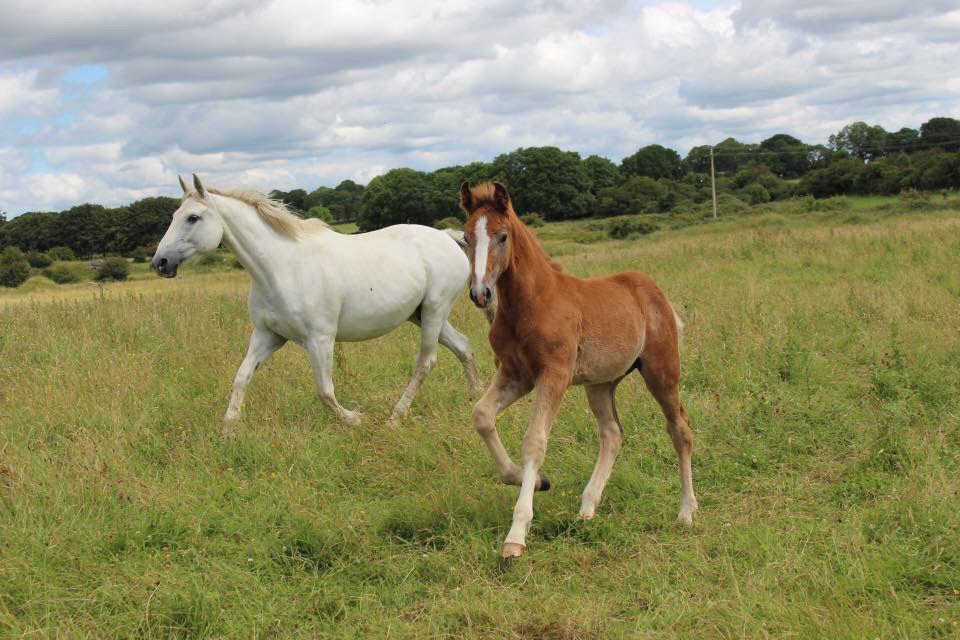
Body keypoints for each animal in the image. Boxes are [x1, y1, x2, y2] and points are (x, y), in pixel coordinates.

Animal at [151, 174, 482, 433]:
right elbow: (242, 377)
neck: (281, 268)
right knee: (463, 346)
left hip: (435, 312)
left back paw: (394, 418)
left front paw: (354, 419)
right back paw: (476, 397)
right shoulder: (268, 335)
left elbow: (324, 390)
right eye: (174, 216)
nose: (160, 263)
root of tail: (446, 237)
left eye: (193, 218)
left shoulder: (320, 339)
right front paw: (228, 430)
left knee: (426, 362)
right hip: (422, 314)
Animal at [459, 181, 698, 558]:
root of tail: (653, 289)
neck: (530, 303)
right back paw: (586, 509)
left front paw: (516, 534)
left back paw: (686, 511)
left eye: (502, 236)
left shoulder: (553, 375)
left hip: (662, 371)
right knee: (612, 434)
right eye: (467, 238)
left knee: (680, 429)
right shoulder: (515, 374)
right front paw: (533, 480)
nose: (480, 293)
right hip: (600, 383)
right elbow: (481, 415)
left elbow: (535, 440)